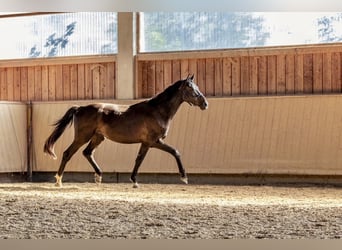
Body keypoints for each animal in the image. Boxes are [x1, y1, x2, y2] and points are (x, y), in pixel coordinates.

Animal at [43, 74, 208, 188]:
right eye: (191, 88)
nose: (205, 103)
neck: (157, 111)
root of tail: (80, 108)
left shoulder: (147, 143)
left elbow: (139, 159)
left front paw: (134, 181)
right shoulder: (153, 141)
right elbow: (174, 152)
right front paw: (184, 177)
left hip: (98, 137)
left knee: (87, 153)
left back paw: (98, 176)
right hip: (82, 137)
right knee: (68, 153)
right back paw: (58, 181)